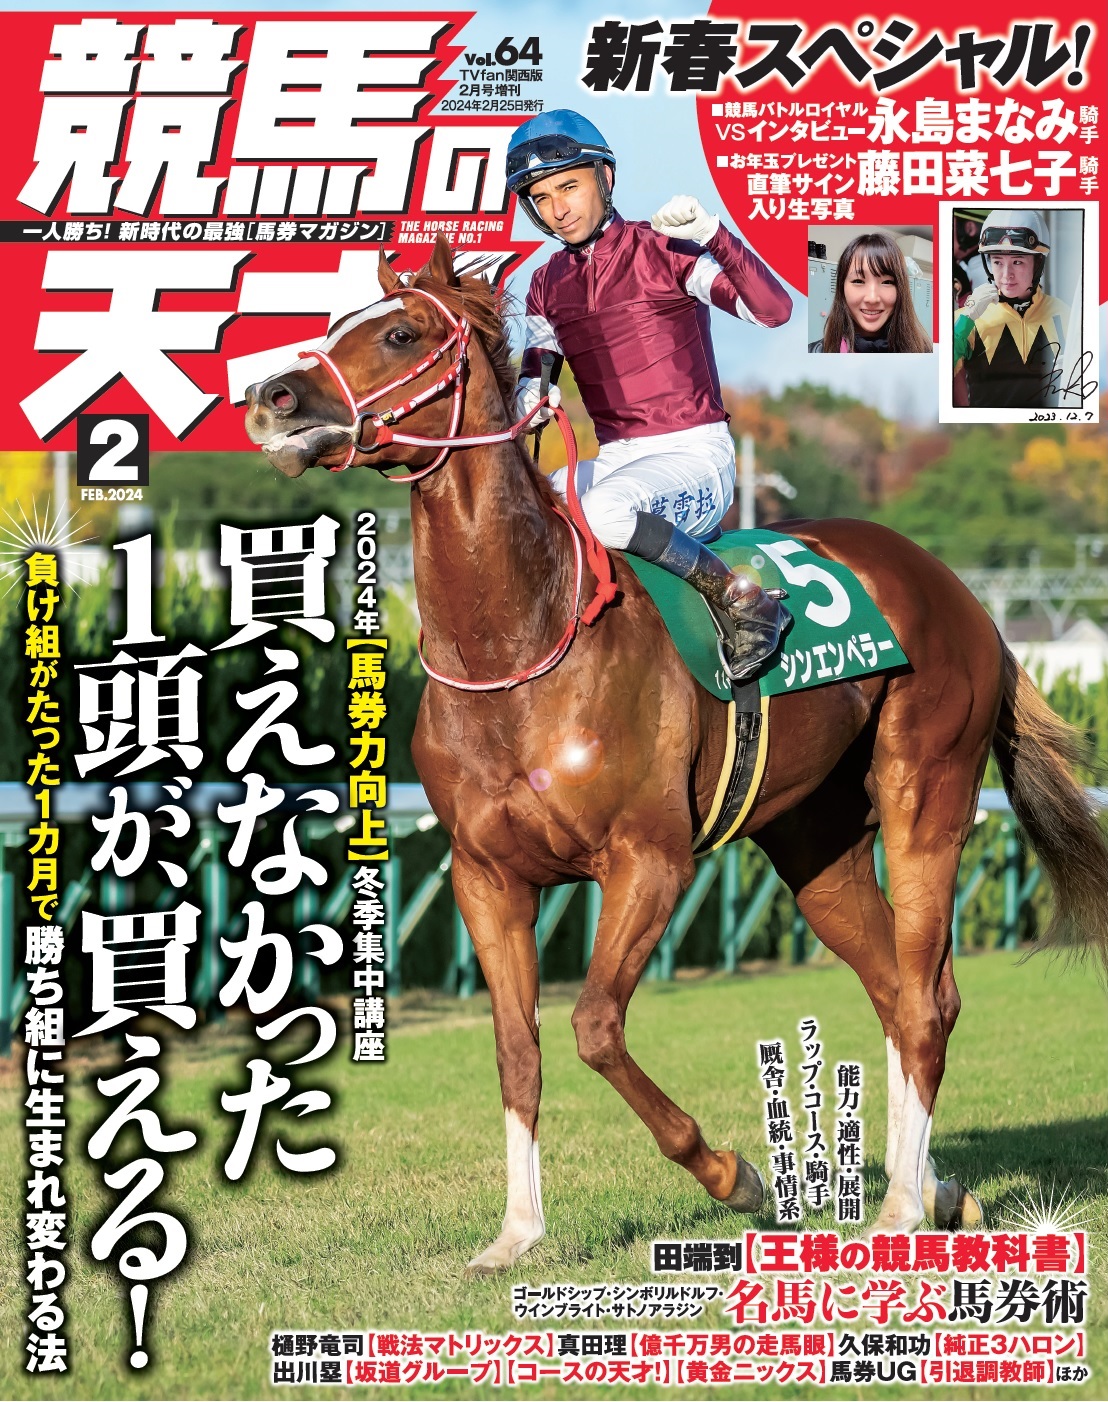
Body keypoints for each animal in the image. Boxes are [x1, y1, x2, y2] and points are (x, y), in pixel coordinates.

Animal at [244, 235, 1108, 1276]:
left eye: (402, 333)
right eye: (337, 325)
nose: (274, 397)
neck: (520, 643)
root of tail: (959, 592)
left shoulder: (646, 861)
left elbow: (593, 1026)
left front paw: (735, 1176)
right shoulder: (486, 878)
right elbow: (518, 1050)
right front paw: (517, 1233)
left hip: (925, 795)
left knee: (926, 1001)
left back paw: (901, 1205)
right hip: (817, 847)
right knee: (902, 991)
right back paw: (935, 1188)